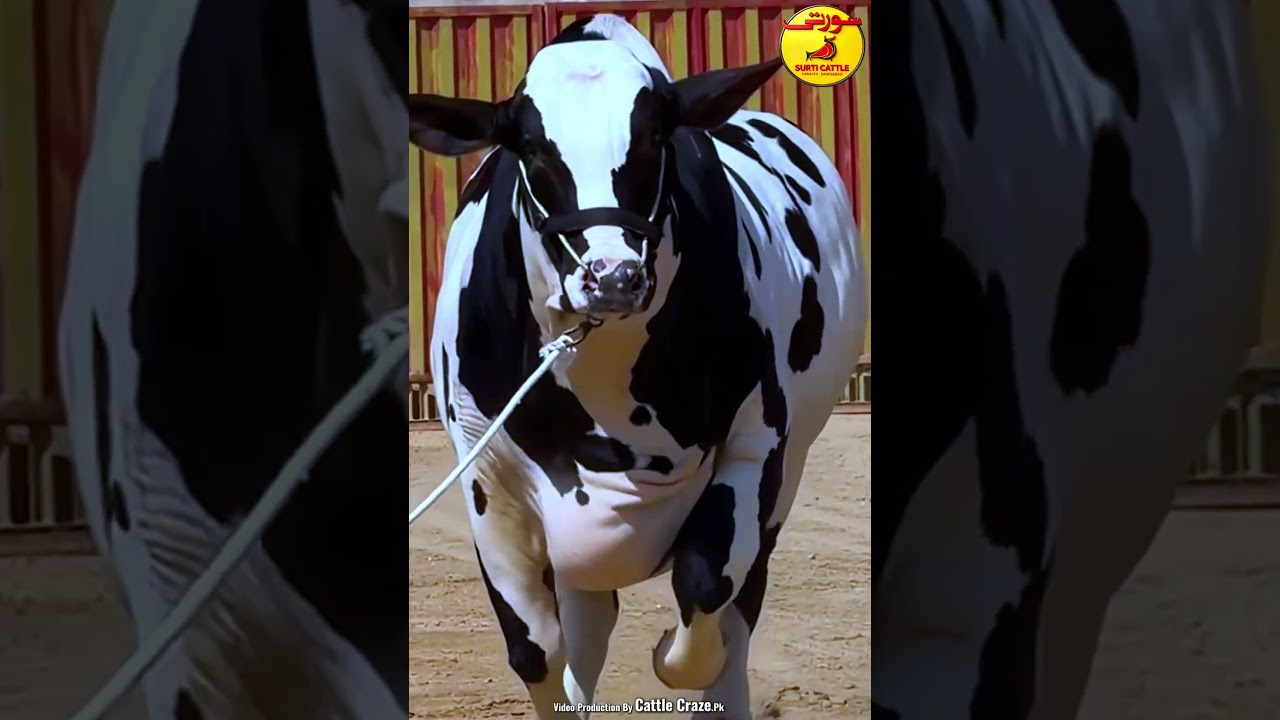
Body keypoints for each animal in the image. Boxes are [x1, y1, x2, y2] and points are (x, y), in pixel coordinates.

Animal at [411, 13, 867, 720]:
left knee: (737, 606)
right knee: (586, 629)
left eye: (655, 138)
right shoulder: (486, 474)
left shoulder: (757, 444)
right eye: (531, 149)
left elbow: (705, 591)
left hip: (788, 472)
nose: (613, 276)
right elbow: (536, 651)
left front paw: (675, 656)